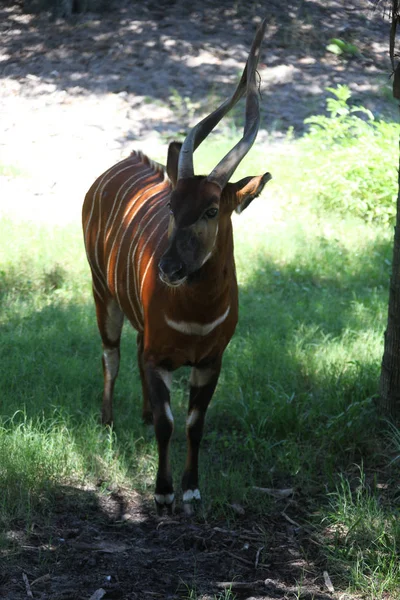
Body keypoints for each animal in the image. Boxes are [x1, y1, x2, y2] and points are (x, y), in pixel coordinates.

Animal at [82, 19, 270, 516]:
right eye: (171, 204)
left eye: (211, 210)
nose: (168, 267)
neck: (197, 315)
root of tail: (121, 162)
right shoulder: (160, 359)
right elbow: (170, 424)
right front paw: (163, 493)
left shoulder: (210, 362)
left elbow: (193, 424)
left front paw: (191, 490)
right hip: (101, 291)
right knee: (111, 354)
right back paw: (108, 423)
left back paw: (143, 416)